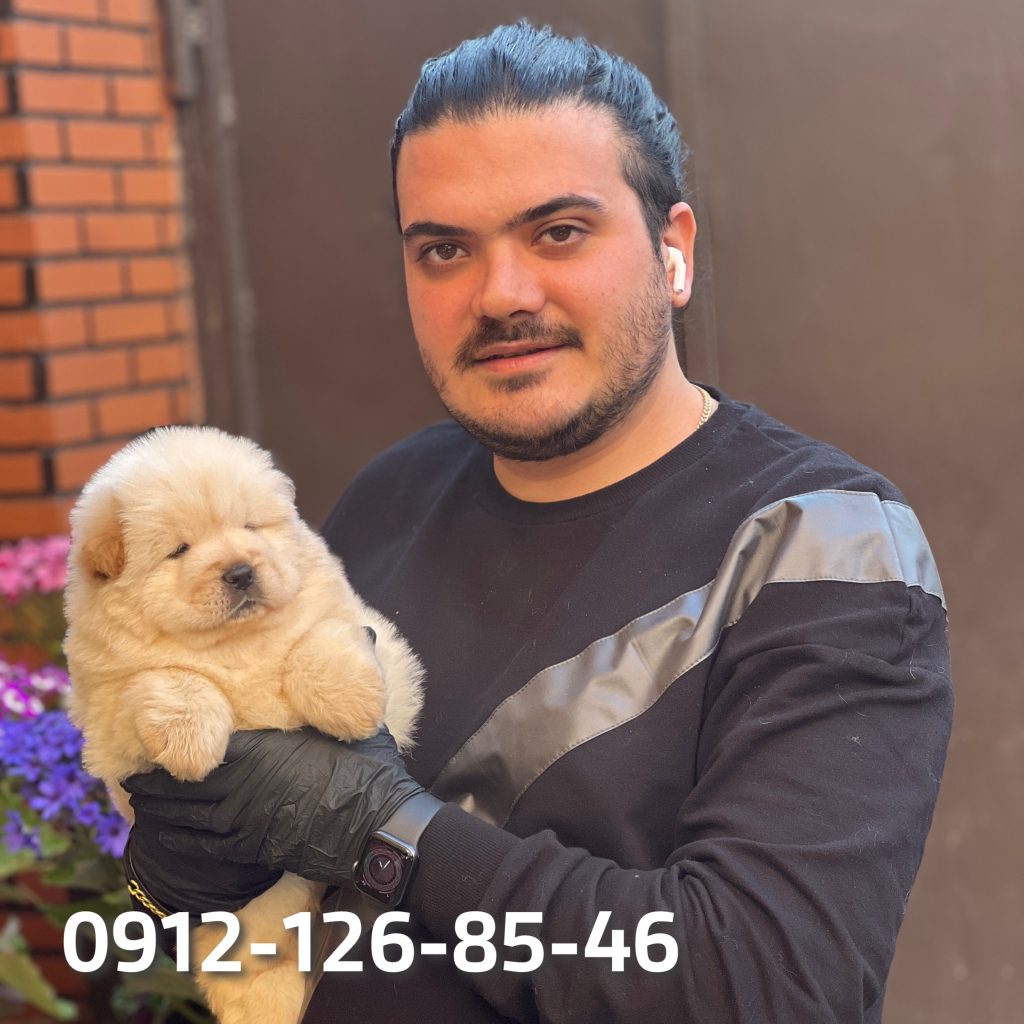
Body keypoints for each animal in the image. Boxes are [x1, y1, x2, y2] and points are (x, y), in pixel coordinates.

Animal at [64, 425, 423, 1024]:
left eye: (251, 528)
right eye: (180, 550)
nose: (240, 570)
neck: (235, 644)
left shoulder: (354, 627)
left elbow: (319, 641)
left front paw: (352, 702)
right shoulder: (110, 709)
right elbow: (168, 680)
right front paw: (191, 746)